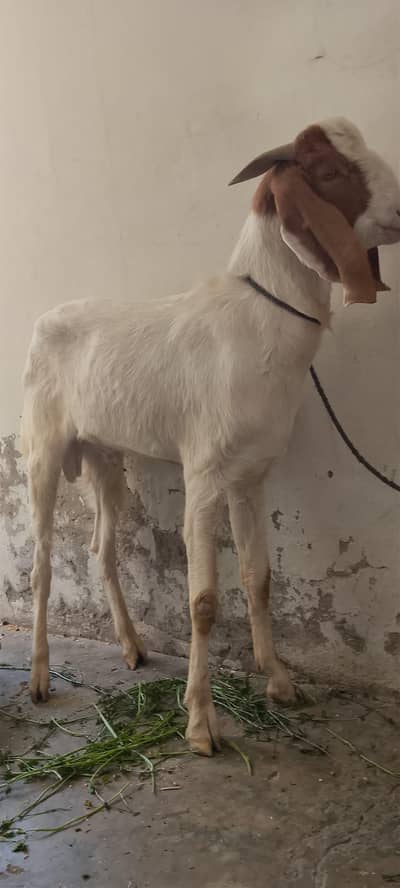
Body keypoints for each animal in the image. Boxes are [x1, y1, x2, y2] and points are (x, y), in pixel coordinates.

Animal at [21, 118, 400, 755]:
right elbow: (201, 601)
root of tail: (42, 321)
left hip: (105, 456)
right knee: (44, 562)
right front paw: (200, 723)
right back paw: (40, 679)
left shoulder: (251, 475)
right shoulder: (203, 474)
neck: (257, 320)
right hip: (42, 450)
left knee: (101, 547)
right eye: (328, 171)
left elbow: (260, 579)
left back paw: (131, 647)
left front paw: (280, 682)